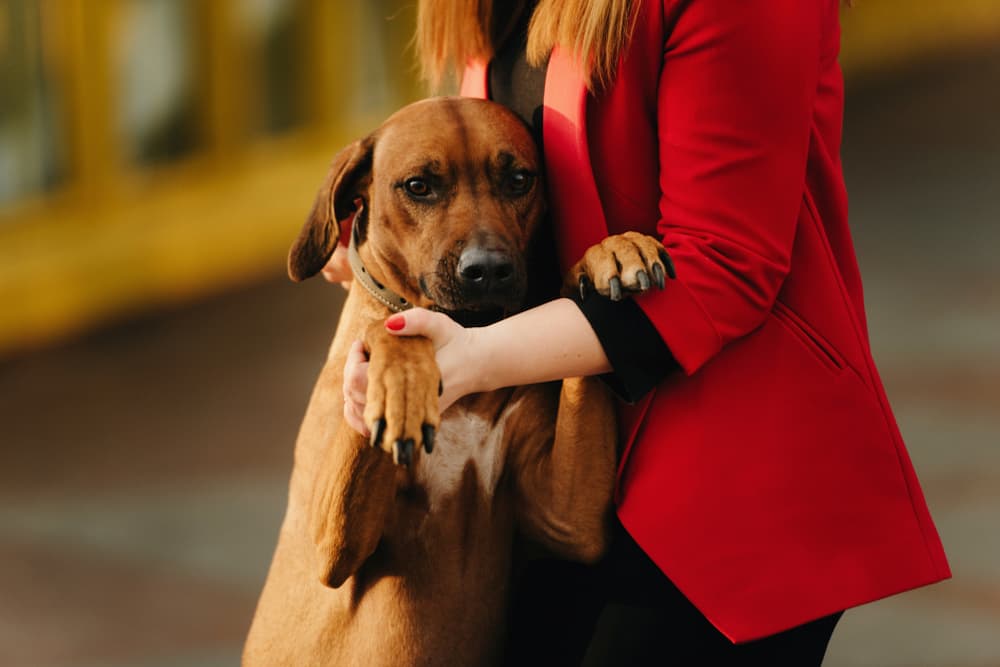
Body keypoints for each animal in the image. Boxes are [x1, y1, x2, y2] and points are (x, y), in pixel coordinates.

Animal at [242, 96, 672, 664]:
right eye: (419, 186)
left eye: (519, 179)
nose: (487, 270)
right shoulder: (331, 545)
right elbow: (389, 331)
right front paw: (399, 384)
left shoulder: (571, 519)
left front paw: (610, 251)